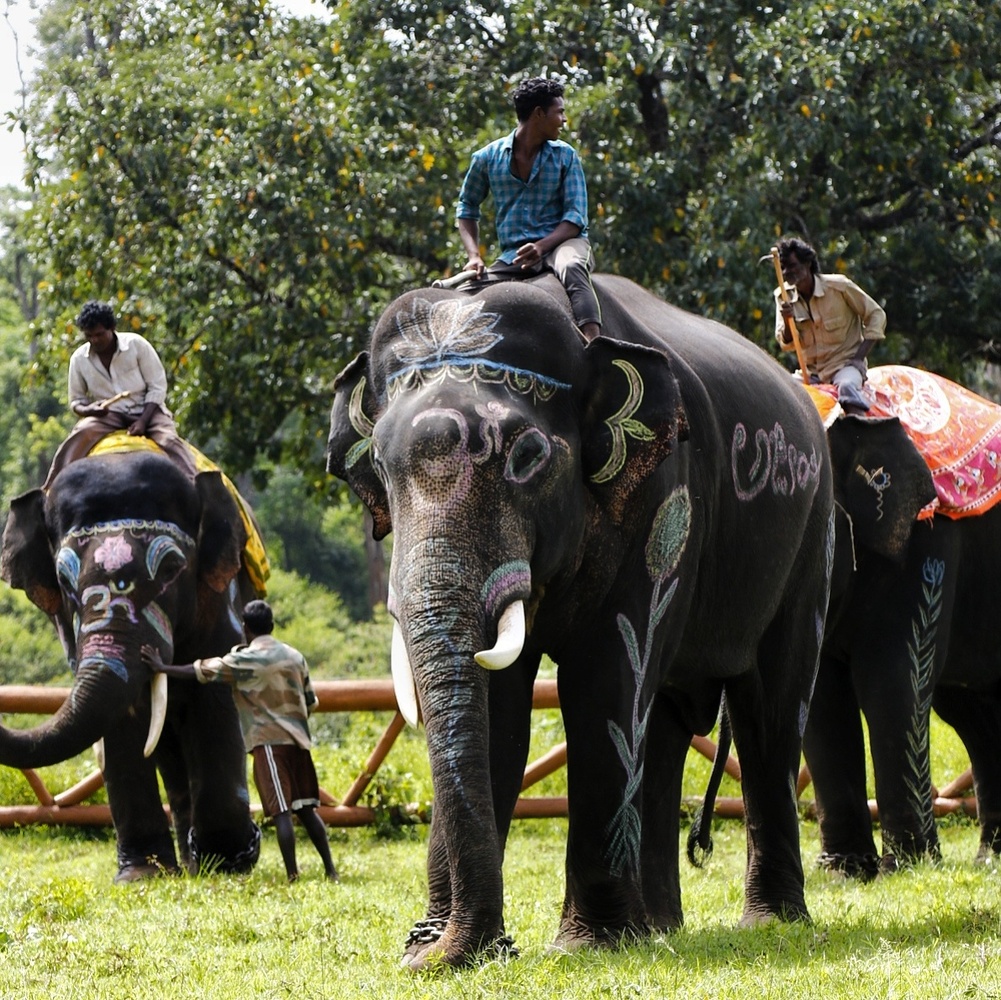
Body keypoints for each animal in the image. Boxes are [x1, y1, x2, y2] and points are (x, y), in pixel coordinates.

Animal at [0, 448, 263, 882]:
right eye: (63, 581)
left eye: (171, 570)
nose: (256, 841)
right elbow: (121, 719)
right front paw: (142, 875)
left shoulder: (219, 597)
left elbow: (214, 697)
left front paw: (230, 862)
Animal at [326, 272, 834, 969]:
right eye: (377, 466)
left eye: (526, 456)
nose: (492, 947)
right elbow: (502, 705)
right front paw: (433, 951)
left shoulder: (662, 499)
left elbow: (606, 678)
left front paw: (584, 947)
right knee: (665, 721)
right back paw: (660, 928)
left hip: (812, 533)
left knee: (771, 708)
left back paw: (768, 923)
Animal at [803, 410, 1001, 878]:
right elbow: (822, 697)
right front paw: (842, 872)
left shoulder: (926, 544)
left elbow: (891, 680)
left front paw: (908, 866)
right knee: (973, 713)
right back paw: (991, 859)